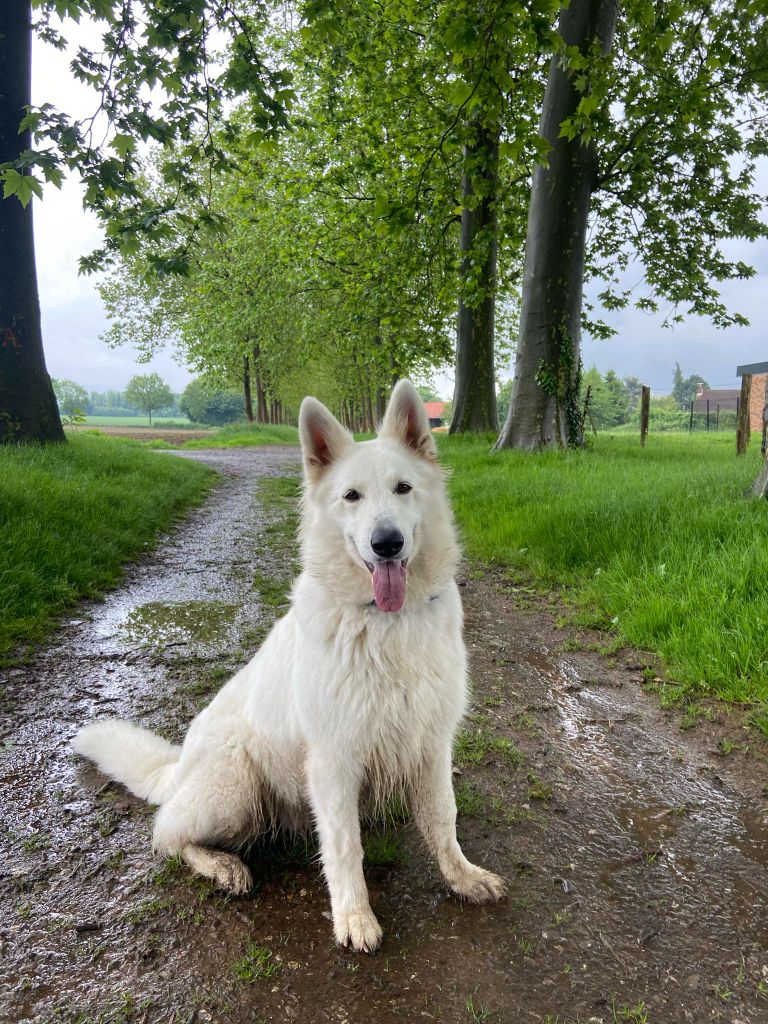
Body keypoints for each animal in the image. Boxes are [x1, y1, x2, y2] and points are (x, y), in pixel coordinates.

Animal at [72, 380, 505, 946]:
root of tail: (179, 766)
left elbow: (443, 821)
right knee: (165, 833)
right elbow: (344, 847)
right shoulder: (333, 758)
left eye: (403, 488)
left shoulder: (431, 743)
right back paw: (221, 865)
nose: (386, 544)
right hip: (234, 785)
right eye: (351, 496)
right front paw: (354, 917)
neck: (384, 622)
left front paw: (462, 877)